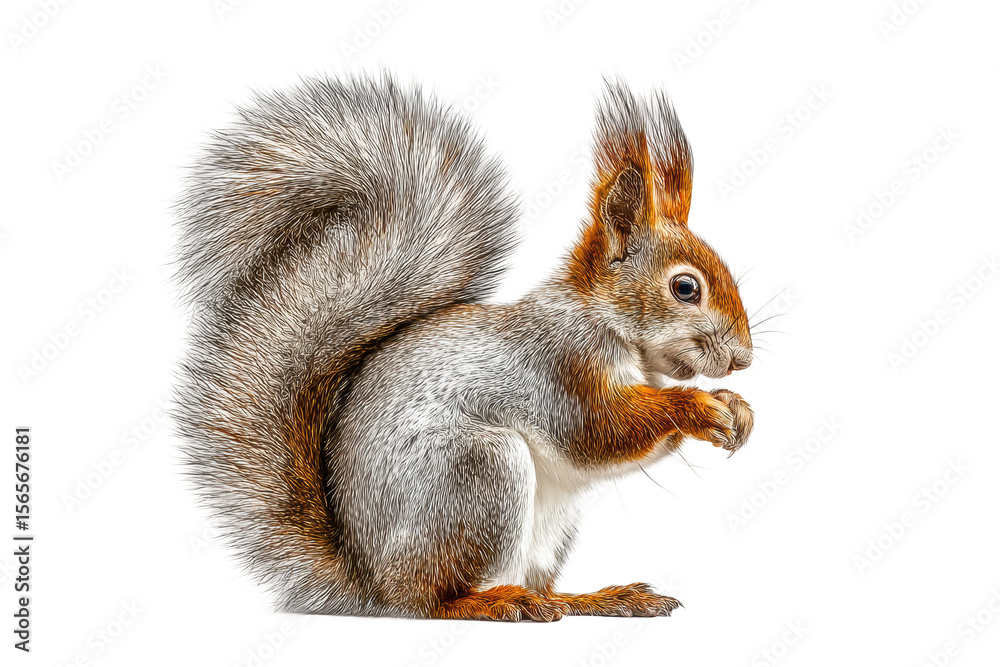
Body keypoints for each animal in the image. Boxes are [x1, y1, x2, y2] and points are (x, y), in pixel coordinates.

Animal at [173, 73, 754, 622]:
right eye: (686, 288)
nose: (743, 359)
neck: (607, 326)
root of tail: (370, 584)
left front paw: (737, 408)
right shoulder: (557, 369)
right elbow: (598, 433)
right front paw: (697, 406)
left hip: (547, 522)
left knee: (545, 589)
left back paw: (597, 598)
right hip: (479, 473)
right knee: (433, 598)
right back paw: (494, 603)